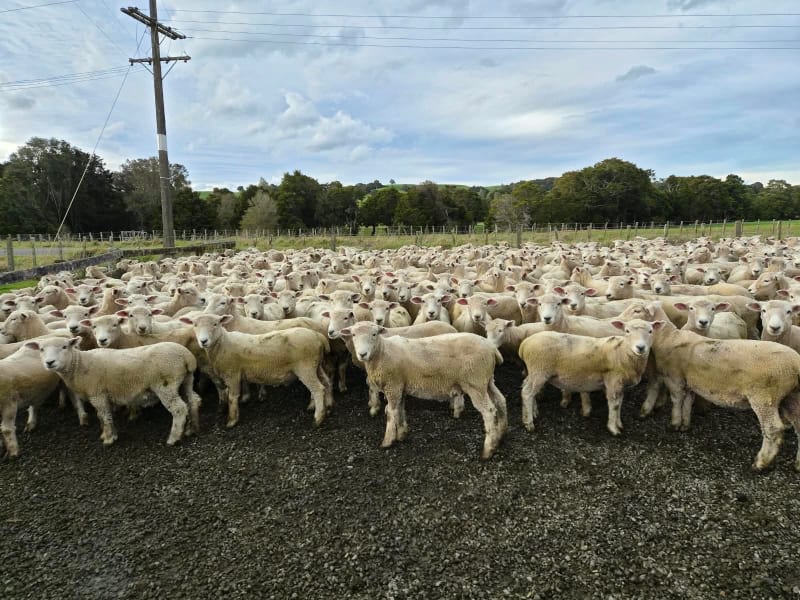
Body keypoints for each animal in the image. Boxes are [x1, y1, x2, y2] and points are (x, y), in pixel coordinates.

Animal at [26, 337, 201, 447]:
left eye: (64, 347)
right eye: (41, 349)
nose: (50, 362)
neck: (79, 365)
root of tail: (187, 356)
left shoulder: (97, 394)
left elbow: (104, 416)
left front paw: (109, 439)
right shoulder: (100, 395)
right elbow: (101, 416)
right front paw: (107, 434)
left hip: (165, 385)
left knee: (179, 409)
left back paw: (174, 438)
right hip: (186, 380)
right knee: (193, 401)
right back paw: (191, 429)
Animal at [180, 314, 333, 428]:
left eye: (215, 324)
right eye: (194, 325)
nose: (203, 341)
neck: (223, 343)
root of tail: (318, 335)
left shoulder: (232, 373)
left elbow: (232, 397)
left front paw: (232, 420)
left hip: (305, 367)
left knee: (317, 389)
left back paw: (318, 418)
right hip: (316, 365)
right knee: (326, 382)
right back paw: (328, 405)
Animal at [339, 321, 507, 459]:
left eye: (374, 334)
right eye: (353, 335)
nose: (362, 354)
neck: (382, 352)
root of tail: (492, 348)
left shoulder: (393, 386)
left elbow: (391, 412)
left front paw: (387, 441)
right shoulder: (400, 385)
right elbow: (400, 409)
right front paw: (401, 434)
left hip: (475, 382)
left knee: (489, 411)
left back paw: (488, 450)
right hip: (486, 380)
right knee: (501, 401)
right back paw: (500, 435)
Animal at [518, 319, 662, 435]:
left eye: (650, 331)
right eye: (627, 331)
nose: (640, 347)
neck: (622, 352)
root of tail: (525, 344)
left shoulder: (620, 384)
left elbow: (620, 403)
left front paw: (619, 424)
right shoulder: (613, 380)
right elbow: (615, 405)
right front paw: (613, 429)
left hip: (535, 371)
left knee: (527, 386)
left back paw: (534, 412)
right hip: (539, 370)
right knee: (527, 393)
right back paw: (528, 423)